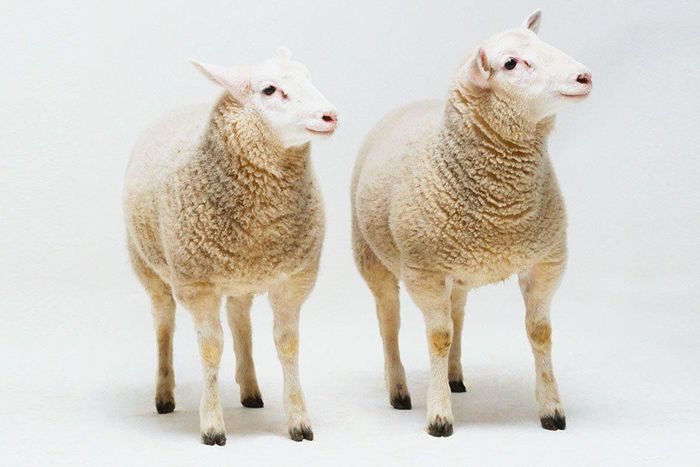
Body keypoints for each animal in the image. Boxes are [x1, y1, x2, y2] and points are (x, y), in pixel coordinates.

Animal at [123, 47, 338, 445]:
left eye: (307, 76)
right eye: (269, 89)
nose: (330, 116)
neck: (261, 223)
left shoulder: (293, 279)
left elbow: (287, 343)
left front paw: (299, 421)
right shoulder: (197, 285)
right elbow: (210, 349)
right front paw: (212, 426)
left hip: (241, 276)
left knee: (240, 319)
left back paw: (250, 390)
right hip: (148, 267)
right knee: (164, 323)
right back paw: (164, 395)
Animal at [351, 10, 592, 437]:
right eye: (511, 63)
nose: (583, 77)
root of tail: (411, 104)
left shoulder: (546, 260)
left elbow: (540, 332)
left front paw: (552, 408)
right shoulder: (425, 272)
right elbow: (437, 336)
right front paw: (439, 416)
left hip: (459, 269)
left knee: (458, 315)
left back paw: (454, 377)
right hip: (371, 257)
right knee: (389, 320)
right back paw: (398, 389)